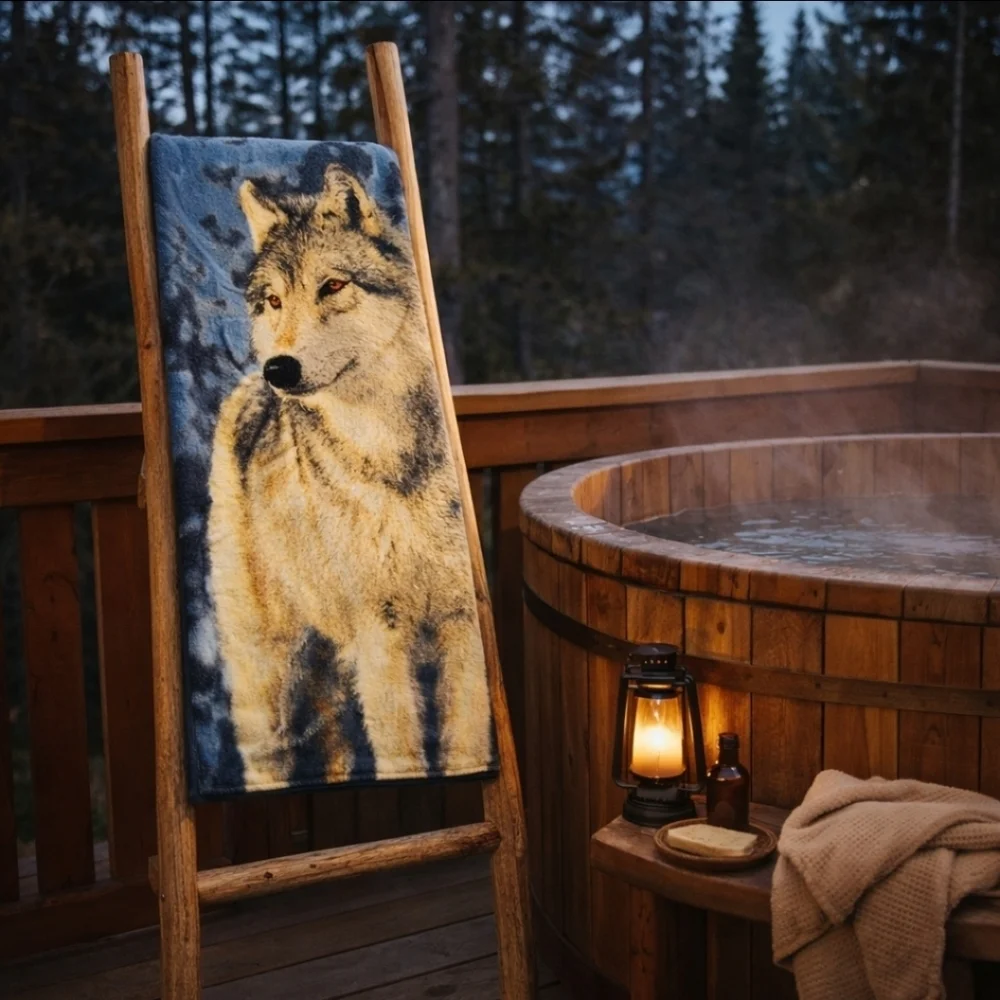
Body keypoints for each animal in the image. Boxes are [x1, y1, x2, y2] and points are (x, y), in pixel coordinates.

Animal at [206, 162, 492, 792]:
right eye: (274, 300)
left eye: (333, 287)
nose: (278, 369)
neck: (390, 460)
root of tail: (244, 391)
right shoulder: (381, 631)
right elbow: (403, 754)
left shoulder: (461, 625)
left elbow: (465, 745)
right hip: (269, 670)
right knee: (267, 757)